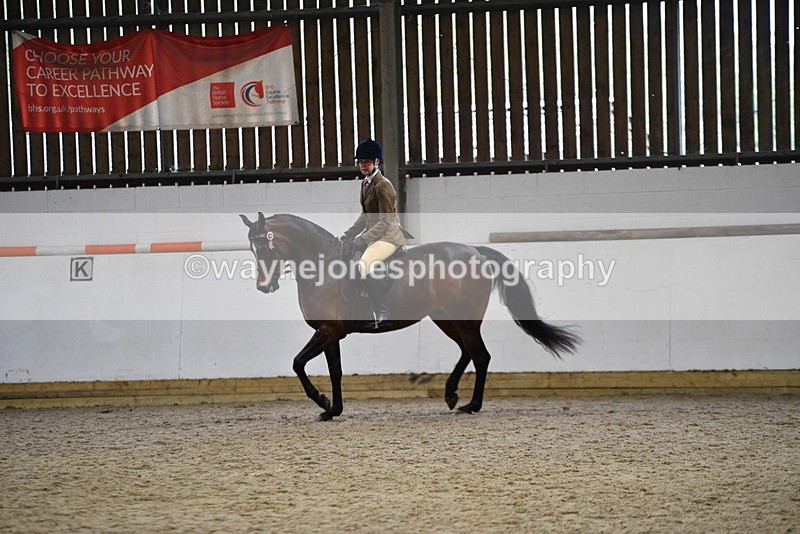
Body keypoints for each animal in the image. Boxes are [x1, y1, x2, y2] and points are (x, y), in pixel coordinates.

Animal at [240, 212, 580, 421]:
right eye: (252, 250)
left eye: (265, 247)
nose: (264, 286)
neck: (323, 268)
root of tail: (475, 251)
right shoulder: (330, 333)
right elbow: (334, 371)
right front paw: (332, 409)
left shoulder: (327, 331)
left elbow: (298, 362)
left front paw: (322, 402)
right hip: (446, 318)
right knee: (467, 352)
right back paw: (451, 395)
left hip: (463, 319)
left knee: (481, 355)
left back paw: (471, 405)